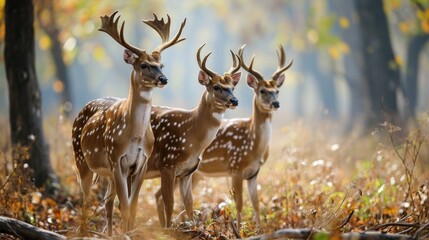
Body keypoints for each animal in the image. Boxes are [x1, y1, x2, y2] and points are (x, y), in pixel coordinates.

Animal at [71, 11, 185, 234]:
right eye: (143, 65)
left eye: (161, 65)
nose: (163, 79)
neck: (136, 136)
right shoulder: (117, 159)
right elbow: (124, 206)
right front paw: (126, 234)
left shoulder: (141, 163)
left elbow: (133, 205)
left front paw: (129, 232)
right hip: (81, 158)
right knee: (85, 200)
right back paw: (82, 232)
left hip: (106, 171)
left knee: (106, 202)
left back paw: (107, 233)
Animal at [139, 44, 242, 227]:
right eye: (216, 87)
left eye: (232, 87)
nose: (234, 101)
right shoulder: (166, 162)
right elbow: (170, 203)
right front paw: (167, 229)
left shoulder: (188, 171)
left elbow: (189, 204)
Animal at [193, 44, 290, 227]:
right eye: (262, 91)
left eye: (278, 91)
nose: (276, 103)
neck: (254, 146)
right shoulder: (235, 168)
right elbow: (238, 204)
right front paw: (239, 229)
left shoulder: (253, 173)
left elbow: (256, 203)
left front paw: (260, 229)